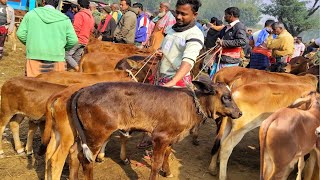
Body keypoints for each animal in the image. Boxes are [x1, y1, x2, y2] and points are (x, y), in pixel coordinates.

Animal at [68, 81, 240, 180]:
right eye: (226, 97)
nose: (239, 113)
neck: (191, 106)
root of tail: (84, 89)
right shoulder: (160, 136)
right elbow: (156, 162)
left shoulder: (171, 137)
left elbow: (167, 154)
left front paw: (167, 171)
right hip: (97, 134)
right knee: (86, 160)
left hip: (84, 135)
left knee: (74, 153)